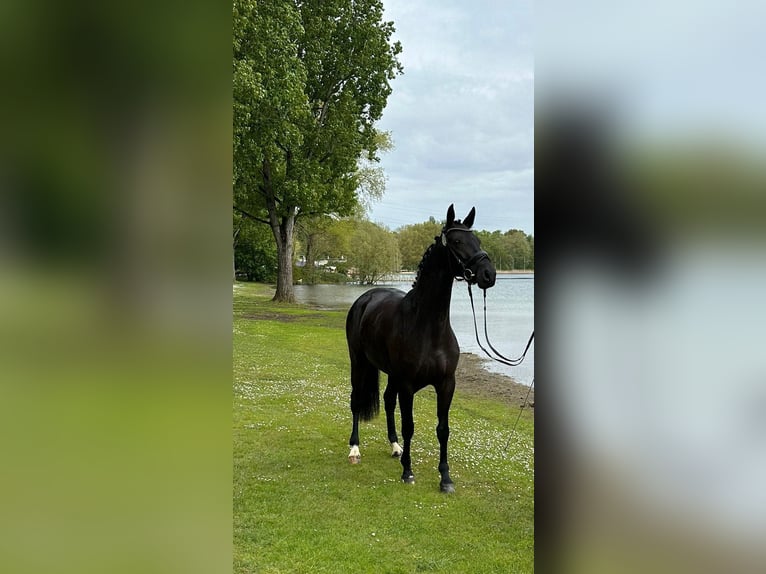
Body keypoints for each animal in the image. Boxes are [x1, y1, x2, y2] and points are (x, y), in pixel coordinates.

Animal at [344, 205, 498, 492]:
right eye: (457, 241)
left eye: (478, 240)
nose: (488, 274)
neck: (428, 327)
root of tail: (365, 299)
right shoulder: (407, 385)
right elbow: (410, 426)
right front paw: (408, 472)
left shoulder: (446, 383)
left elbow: (443, 429)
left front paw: (445, 478)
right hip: (358, 363)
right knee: (356, 400)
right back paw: (355, 449)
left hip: (390, 374)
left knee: (387, 400)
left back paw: (395, 447)